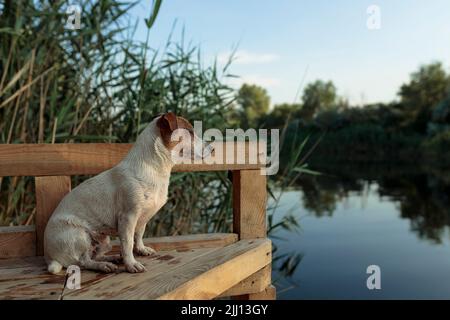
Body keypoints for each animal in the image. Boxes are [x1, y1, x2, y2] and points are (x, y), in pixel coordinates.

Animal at [43, 112, 210, 272]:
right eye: (190, 131)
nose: (212, 148)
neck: (155, 169)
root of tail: (50, 257)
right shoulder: (128, 218)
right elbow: (127, 243)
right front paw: (131, 264)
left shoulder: (142, 218)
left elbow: (139, 235)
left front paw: (141, 250)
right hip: (79, 235)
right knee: (83, 262)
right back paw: (103, 266)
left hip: (104, 240)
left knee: (94, 255)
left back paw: (111, 259)